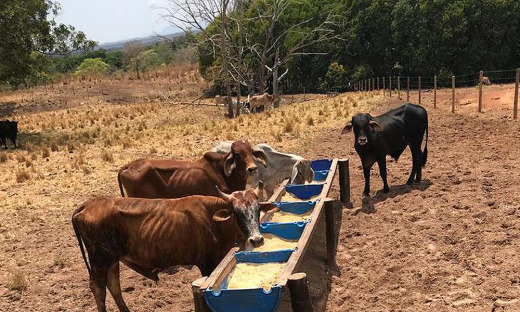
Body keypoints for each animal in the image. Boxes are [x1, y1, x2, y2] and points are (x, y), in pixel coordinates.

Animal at [73, 185, 278, 312]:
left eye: (258, 209)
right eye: (237, 212)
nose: (257, 239)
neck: (214, 220)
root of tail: (87, 205)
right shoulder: (208, 263)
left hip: (112, 260)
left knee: (113, 285)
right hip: (99, 259)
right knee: (98, 288)